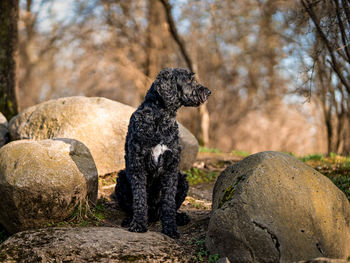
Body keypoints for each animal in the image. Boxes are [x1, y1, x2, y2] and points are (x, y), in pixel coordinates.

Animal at [115, 68, 211, 239]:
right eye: (189, 80)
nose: (208, 92)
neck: (160, 118)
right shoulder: (137, 164)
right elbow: (139, 198)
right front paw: (138, 224)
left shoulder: (171, 167)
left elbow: (168, 202)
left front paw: (170, 228)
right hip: (122, 179)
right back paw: (130, 219)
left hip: (182, 180)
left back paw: (180, 217)